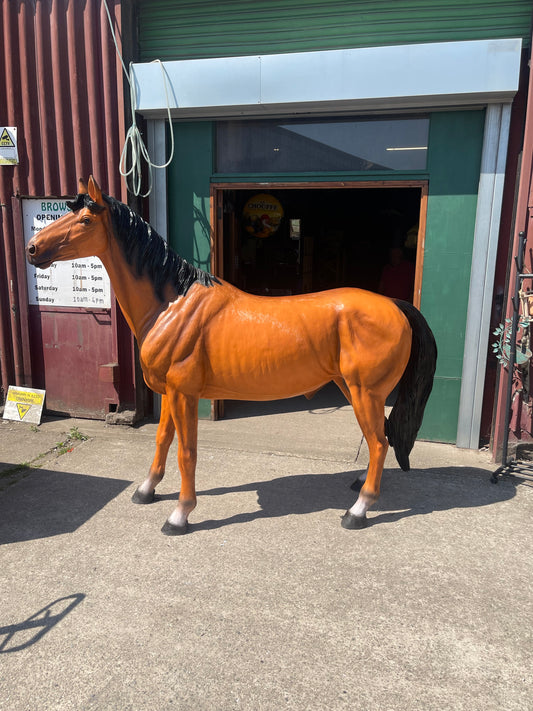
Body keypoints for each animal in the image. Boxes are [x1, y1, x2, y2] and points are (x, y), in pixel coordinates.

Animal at [26, 177, 437, 535]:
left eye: (84, 220)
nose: (32, 248)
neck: (171, 304)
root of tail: (395, 306)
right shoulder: (169, 393)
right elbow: (162, 440)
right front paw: (146, 490)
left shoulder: (184, 394)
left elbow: (187, 452)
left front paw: (180, 515)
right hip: (354, 390)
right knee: (378, 440)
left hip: (365, 392)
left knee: (380, 443)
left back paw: (358, 511)